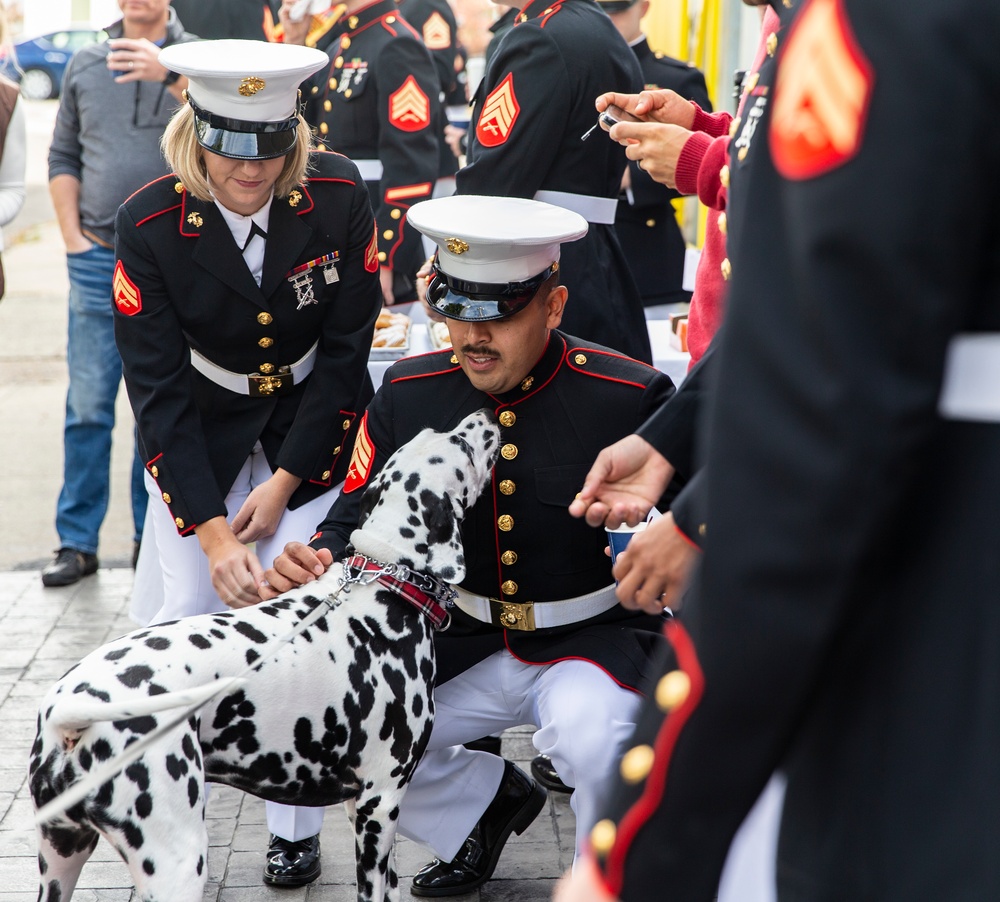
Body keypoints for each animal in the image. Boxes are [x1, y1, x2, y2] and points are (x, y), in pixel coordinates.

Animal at [28, 412, 500, 902]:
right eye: (461, 446)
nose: (484, 416)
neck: (384, 584)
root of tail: (70, 710)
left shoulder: (361, 808)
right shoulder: (379, 804)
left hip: (61, 856)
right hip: (178, 862)